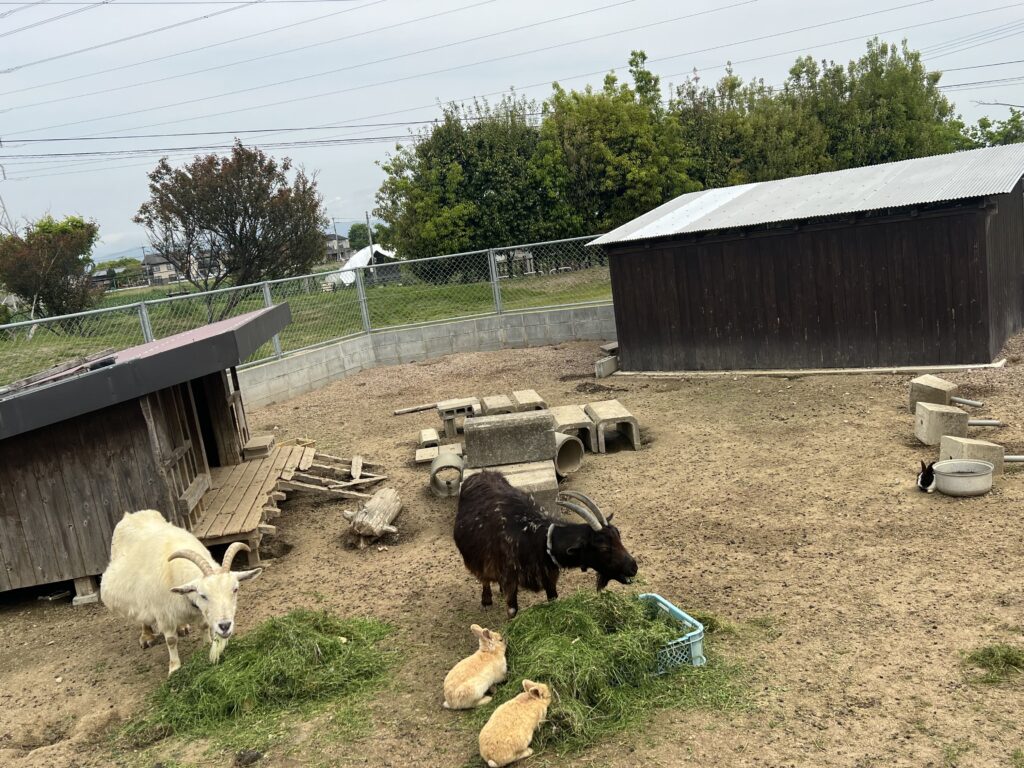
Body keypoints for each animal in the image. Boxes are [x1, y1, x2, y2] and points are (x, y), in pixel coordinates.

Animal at [100, 509, 262, 676]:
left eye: (235, 589)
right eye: (203, 595)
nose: (225, 626)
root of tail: (131, 515)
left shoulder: (198, 610)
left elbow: (204, 626)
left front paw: (207, 645)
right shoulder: (164, 614)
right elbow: (171, 640)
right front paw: (174, 668)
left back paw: (182, 627)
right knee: (142, 616)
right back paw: (147, 636)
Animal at [454, 471, 638, 617]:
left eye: (618, 536)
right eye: (603, 547)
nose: (633, 567)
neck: (535, 538)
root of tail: (479, 474)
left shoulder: (549, 576)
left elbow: (553, 599)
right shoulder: (510, 577)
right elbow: (512, 610)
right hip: (477, 557)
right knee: (483, 577)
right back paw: (486, 600)